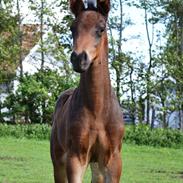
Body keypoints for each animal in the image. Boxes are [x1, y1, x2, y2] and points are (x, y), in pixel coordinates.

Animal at [50, 0, 124, 182]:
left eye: (101, 28)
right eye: (72, 28)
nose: (78, 58)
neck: (97, 109)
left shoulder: (113, 161)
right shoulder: (76, 158)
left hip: (97, 165)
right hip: (58, 161)